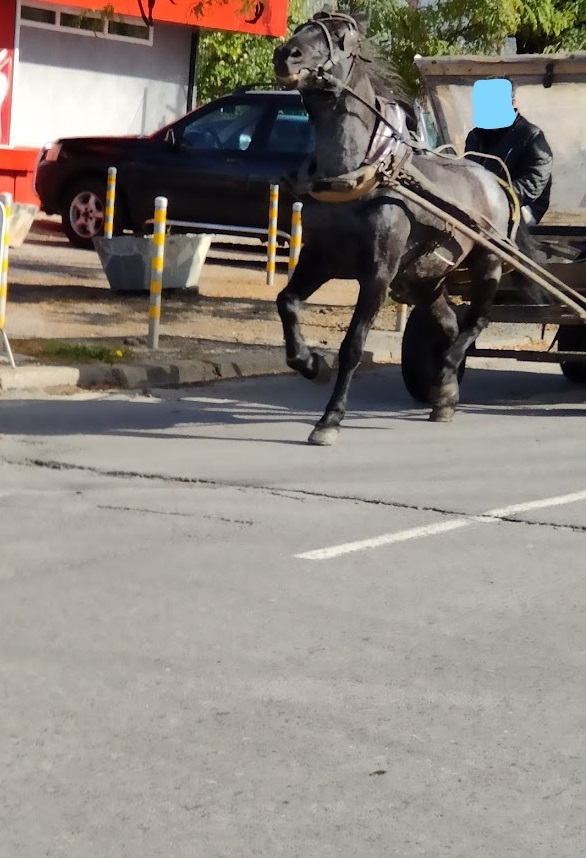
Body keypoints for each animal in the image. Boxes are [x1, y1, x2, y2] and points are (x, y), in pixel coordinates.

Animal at [272, 10, 536, 444]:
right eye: (303, 27)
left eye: (341, 37)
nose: (286, 54)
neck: (361, 174)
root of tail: (494, 180)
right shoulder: (319, 256)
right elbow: (287, 302)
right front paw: (311, 363)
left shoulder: (378, 274)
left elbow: (353, 346)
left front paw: (330, 419)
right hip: (424, 278)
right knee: (448, 324)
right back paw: (444, 394)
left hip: (487, 262)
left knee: (475, 322)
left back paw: (445, 370)